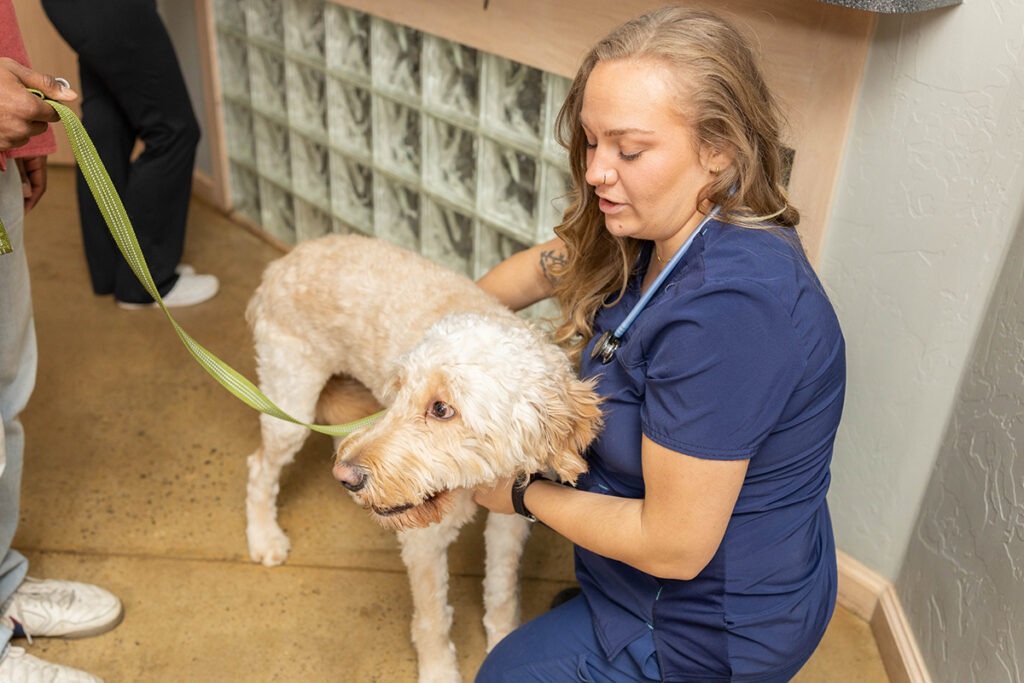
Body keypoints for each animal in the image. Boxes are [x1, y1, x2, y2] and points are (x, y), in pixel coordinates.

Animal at [244, 234, 603, 682]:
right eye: (398, 389)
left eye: (442, 409)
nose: (346, 476)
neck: (478, 479)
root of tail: (286, 260)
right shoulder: (423, 540)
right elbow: (433, 615)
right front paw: (438, 671)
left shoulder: (511, 517)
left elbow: (501, 590)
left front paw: (501, 638)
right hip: (289, 406)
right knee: (260, 468)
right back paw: (263, 536)